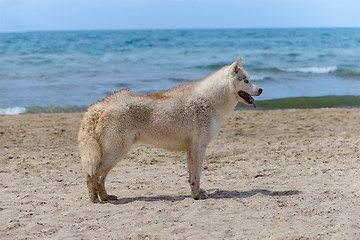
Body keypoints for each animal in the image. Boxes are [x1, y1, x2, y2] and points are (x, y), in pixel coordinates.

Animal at [79, 58, 262, 202]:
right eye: (246, 81)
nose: (261, 90)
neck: (210, 101)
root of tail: (103, 105)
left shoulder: (191, 150)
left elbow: (192, 178)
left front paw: (195, 195)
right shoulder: (199, 148)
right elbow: (197, 177)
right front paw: (199, 195)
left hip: (116, 154)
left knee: (100, 178)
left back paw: (106, 197)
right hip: (117, 152)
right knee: (92, 175)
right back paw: (94, 198)